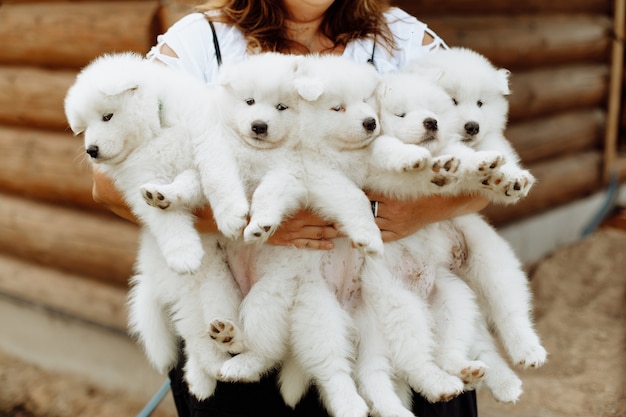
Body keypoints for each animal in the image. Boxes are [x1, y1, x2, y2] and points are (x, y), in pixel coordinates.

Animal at [63, 52, 247, 400]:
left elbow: (210, 176)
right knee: (195, 338)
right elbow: (165, 219)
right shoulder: (141, 179)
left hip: (219, 288)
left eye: (107, 116)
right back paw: (205, 377)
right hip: (190, 291)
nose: (90, 151)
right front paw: (183, 251)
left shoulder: (206, 138)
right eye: (84, 127)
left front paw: (231, 213)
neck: (155, 132)